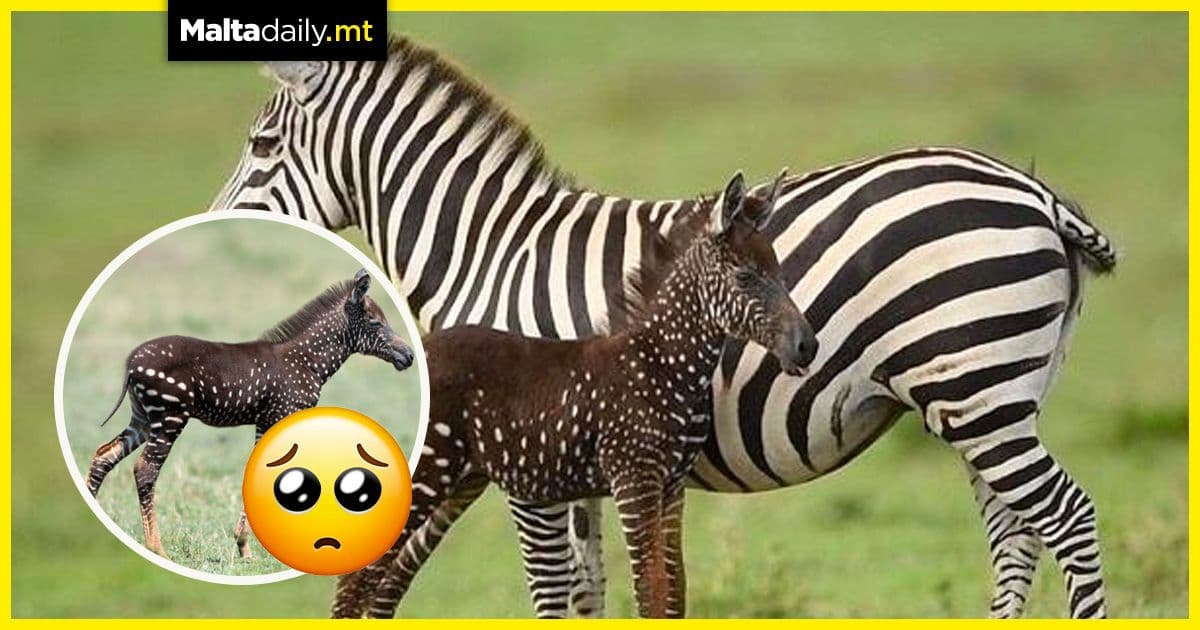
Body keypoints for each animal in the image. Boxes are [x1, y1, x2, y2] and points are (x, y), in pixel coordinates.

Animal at [209, 36, 1117, 618]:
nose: (213, 234)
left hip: (974, 389)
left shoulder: (526, 460)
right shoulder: (570, 457)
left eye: (262, 143)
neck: (491, 251)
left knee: (1067, 521)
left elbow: (550, 591)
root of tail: (1034, 190)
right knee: (1015, 535)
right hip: (989, 397)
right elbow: (588, 592)